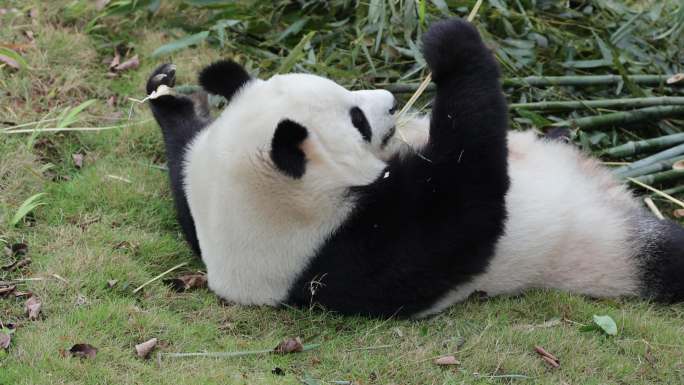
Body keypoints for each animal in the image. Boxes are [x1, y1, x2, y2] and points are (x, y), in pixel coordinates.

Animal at [146, 19, 684, 316]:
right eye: (357, 119)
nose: (389, 101)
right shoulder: (358, 253)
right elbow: (469, 202)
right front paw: (452, 43)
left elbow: (182, 164)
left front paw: (167, 95)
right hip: (610, 249)